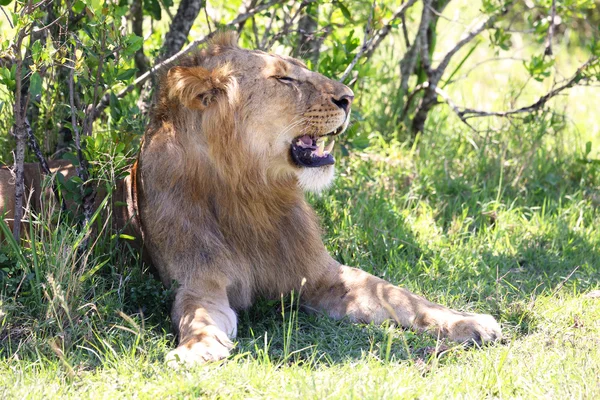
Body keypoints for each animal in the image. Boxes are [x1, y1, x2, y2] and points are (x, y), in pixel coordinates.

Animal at [1, 32, 502, 368]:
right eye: (284, 79)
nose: (349, 97)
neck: (252, 188)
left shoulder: (324, 275)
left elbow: (402, 296)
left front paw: (470, 322)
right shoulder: (201, 281)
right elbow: (199, 316)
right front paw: (196, 349)